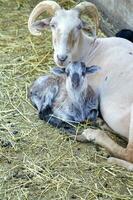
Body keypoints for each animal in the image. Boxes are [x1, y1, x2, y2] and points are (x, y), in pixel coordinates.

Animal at [27, 0, 133, 170]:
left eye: (78, 26)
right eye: (52, 25)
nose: (61, 57)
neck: (91, 49)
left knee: (128, 153)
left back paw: (96, 137)